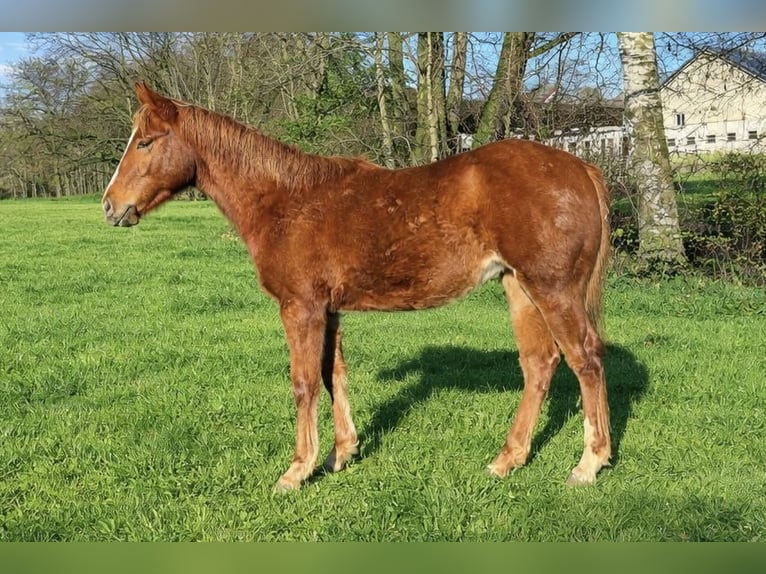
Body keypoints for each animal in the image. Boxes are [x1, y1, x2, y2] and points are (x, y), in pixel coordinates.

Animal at [102, 82, 612, 492]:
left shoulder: (301, 307)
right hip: (519, 288)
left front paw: (297, 470)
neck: (285, 201)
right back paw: (508, 460)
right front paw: (341, 453)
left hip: (552, 290)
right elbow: (334, 375)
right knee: (539, 364)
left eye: (145, 142)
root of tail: (583, 169)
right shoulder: (329, 310)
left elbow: (305, 382)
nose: (110, 206)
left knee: (585, 360)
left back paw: (589, 464)